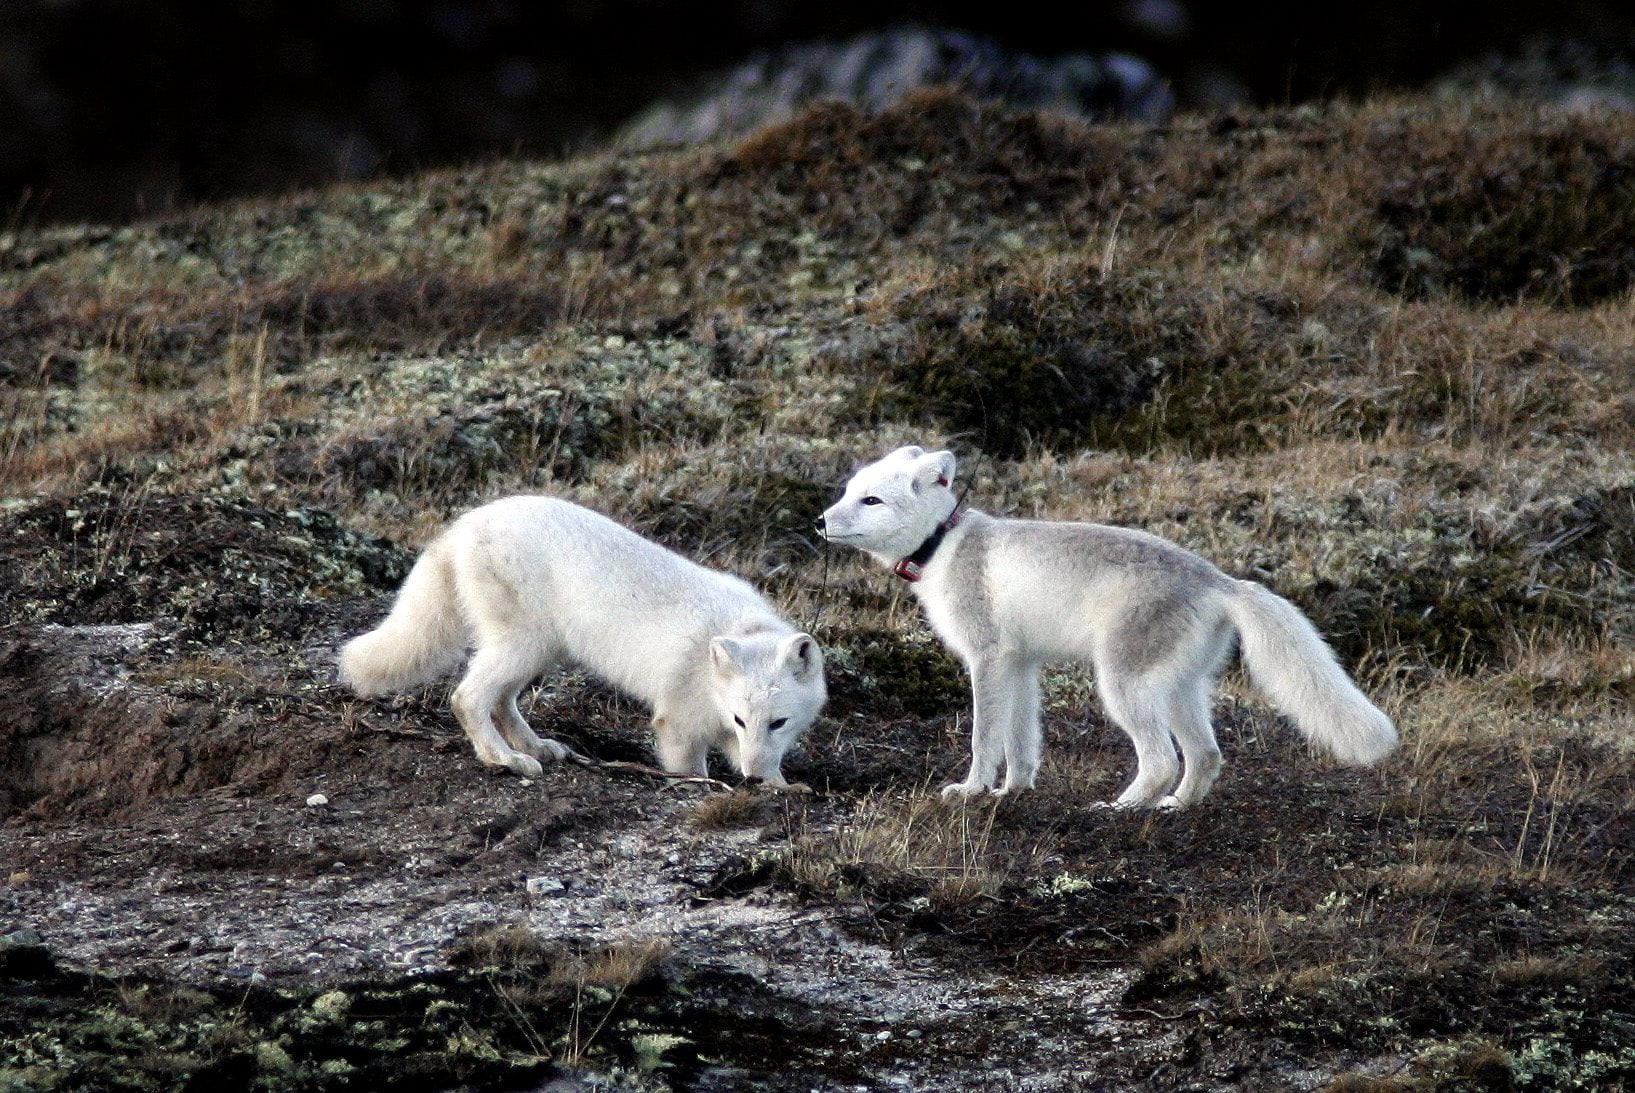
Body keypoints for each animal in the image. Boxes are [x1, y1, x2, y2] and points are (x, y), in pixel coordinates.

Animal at [339, 495, 826, 786]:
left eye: (778, 722)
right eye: (744, 719)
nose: (752, 780)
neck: (738, 629)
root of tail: (464, 523)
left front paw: (779, 784)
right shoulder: (678, 721)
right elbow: (689, 769)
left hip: (542, 649)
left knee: (501, 700)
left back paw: (535, 745)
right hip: (524, 643)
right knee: (467, 697)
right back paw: (504, 759)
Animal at [818, 446, 1396, 808]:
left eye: (872, 500)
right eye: (847, 491)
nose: (820, 521)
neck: (943, 545)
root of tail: (1220, 580)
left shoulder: (987, 659)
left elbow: (986, 738)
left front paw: (973, 790)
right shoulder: (1021, 664)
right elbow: (1022, 741)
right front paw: (1013, 792)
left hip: (1122, 684)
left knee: (1162, 758)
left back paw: (1123, 807)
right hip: (1181, 688)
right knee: (1205, 754)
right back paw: (1175, 806)